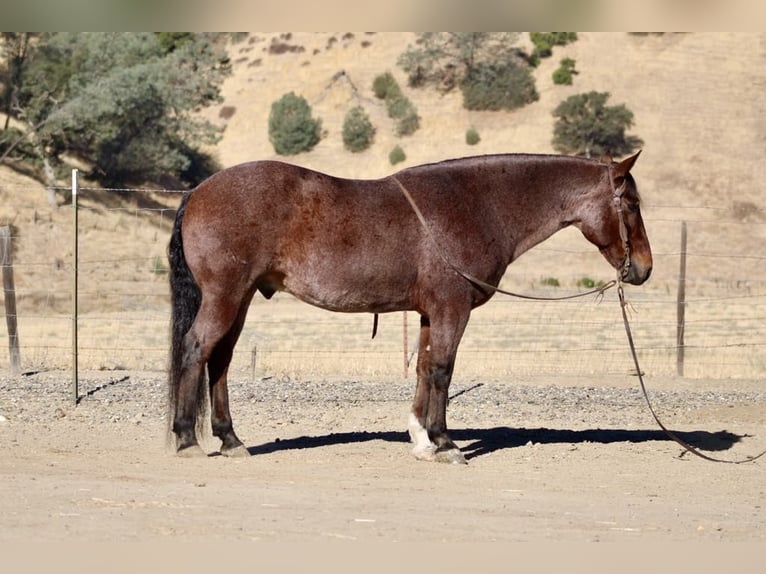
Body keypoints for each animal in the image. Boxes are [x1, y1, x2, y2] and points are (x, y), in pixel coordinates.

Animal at [168, 152, 656, 464]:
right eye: (631, 205)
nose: (644, 268)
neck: (476, 204)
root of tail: (198, 192)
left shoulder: (428, 312)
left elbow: (423, 367)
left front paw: (422, 440)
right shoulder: (452, 309)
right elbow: (442, 369)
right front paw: (446, 444)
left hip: (241, 297)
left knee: (221, 359)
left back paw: (230, 440)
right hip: (226, 295)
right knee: (196, 349)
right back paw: (187, 439)